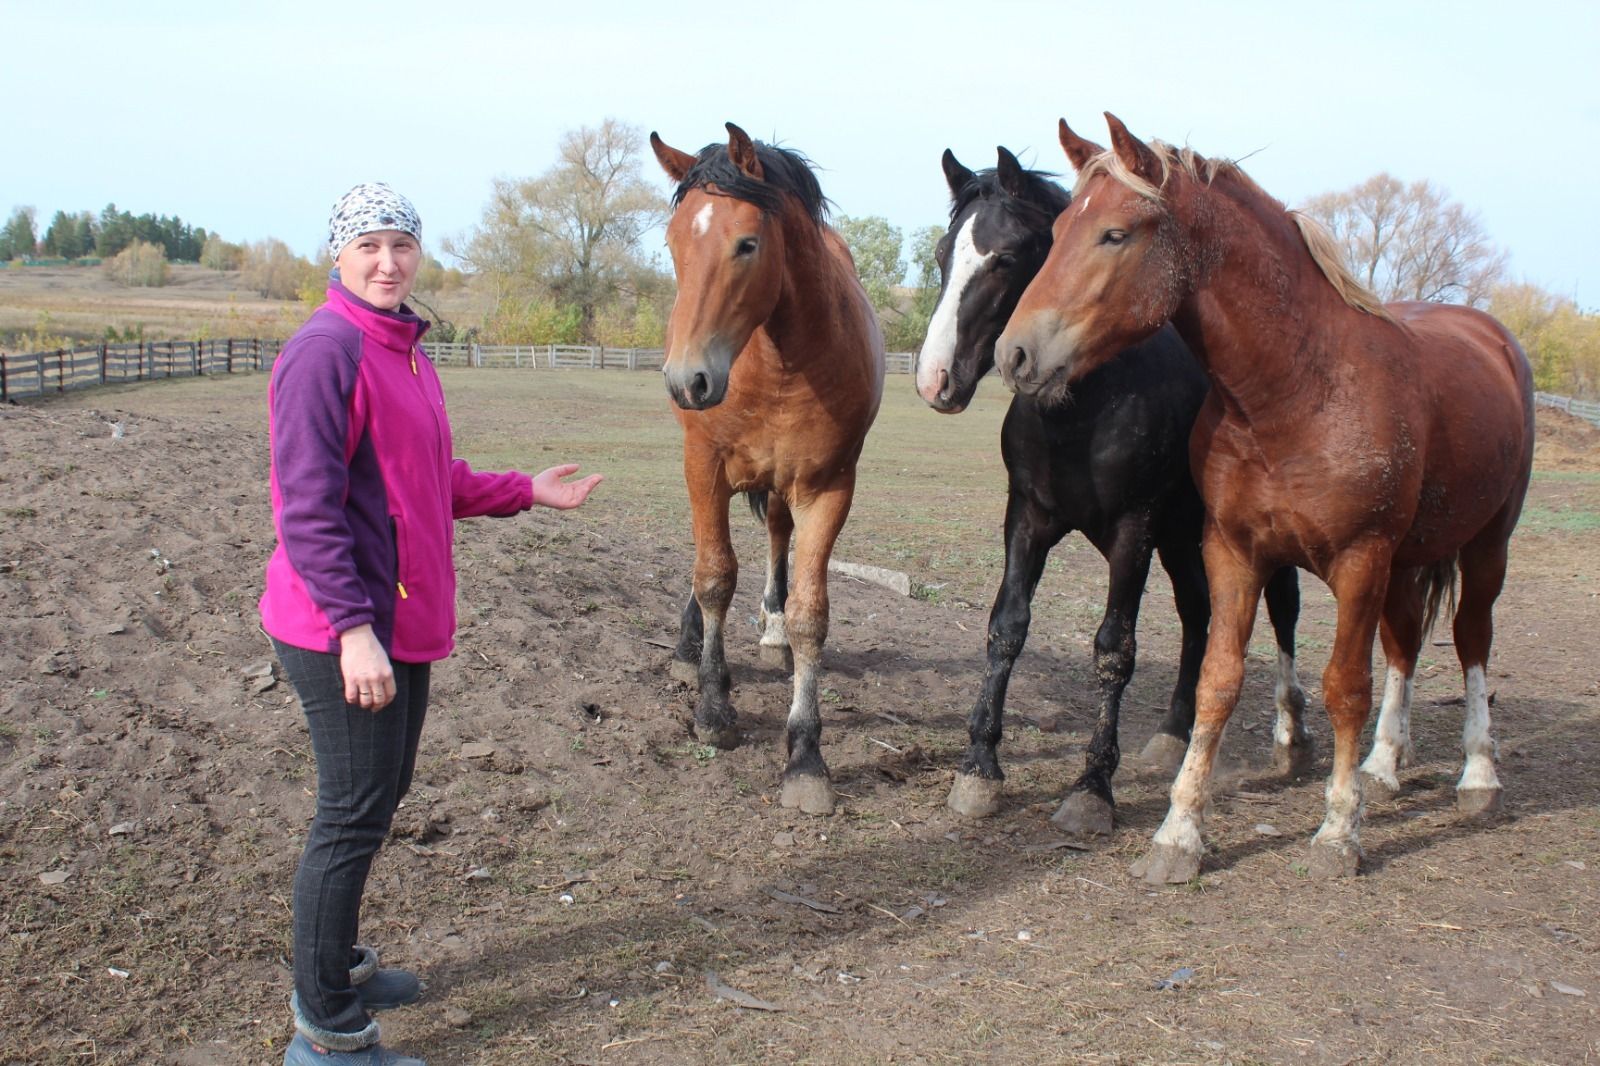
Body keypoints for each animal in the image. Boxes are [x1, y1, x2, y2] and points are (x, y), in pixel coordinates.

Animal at [646, 120, 889, 809]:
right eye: (673, 244)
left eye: (746, 244)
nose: (687, 380)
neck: (780, 365)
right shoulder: (703, 465)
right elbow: (713, 578)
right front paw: (712, 708)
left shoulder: (828, 488)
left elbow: (811, 615)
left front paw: (806, 755)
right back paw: (689, 645)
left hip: (784, 488)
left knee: (779, 537)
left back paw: (772, 626)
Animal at [921, 149, 1305, 832]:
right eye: (944, 253)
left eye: (1005, 257)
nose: (935, 379)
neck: (1083, 413)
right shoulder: (1028, 519)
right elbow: (1006, 627)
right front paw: (979, 767)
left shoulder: (1133, 530)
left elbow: (1113, 650)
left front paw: (1093, 785)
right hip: (1181, 540)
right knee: (1197, 614)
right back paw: (1174, 733)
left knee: (1282, 610)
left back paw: (1294, 740)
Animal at [998, 114, 1536, 877]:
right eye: (1059, 228)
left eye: (1115, 234)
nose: (1014, 354)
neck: (1297, 393)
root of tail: (1491, 335)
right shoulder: (1233, 551)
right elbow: (1219, 681)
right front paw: (1179, 833)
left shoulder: (1360, 560)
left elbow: (1345, 687)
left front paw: (1338, 833)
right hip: (1406, 562)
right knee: (1405, 646)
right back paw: (1383, 765)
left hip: (1486, 546)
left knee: (1471, 640)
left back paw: (1478, 776)